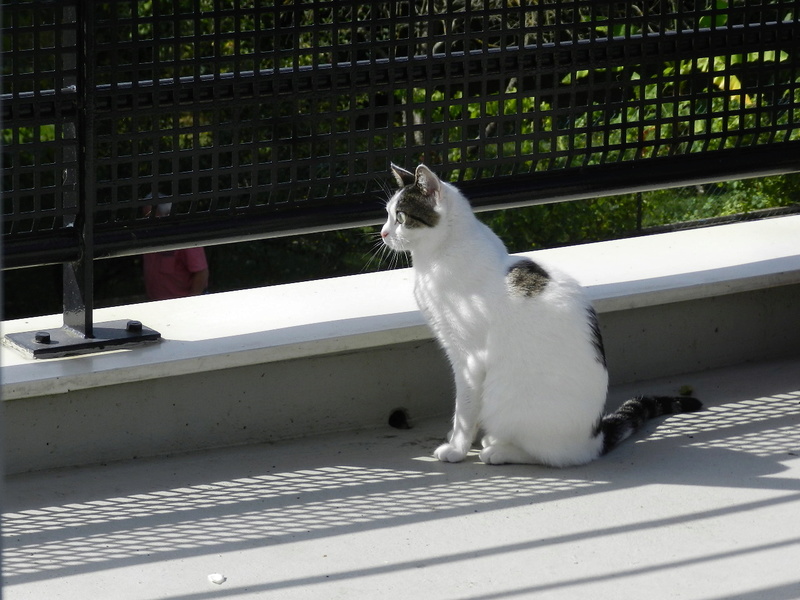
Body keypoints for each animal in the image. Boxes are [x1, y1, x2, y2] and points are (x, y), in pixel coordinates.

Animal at [382, 164, 700, 468]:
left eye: (401, 216)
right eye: (386, 214)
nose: (383, 233)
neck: (436, 256)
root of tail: (594, 438)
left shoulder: (468, 359)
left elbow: (465, 408)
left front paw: (457, 448)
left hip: (509, 400)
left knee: (552, 457)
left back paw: (498, 450)